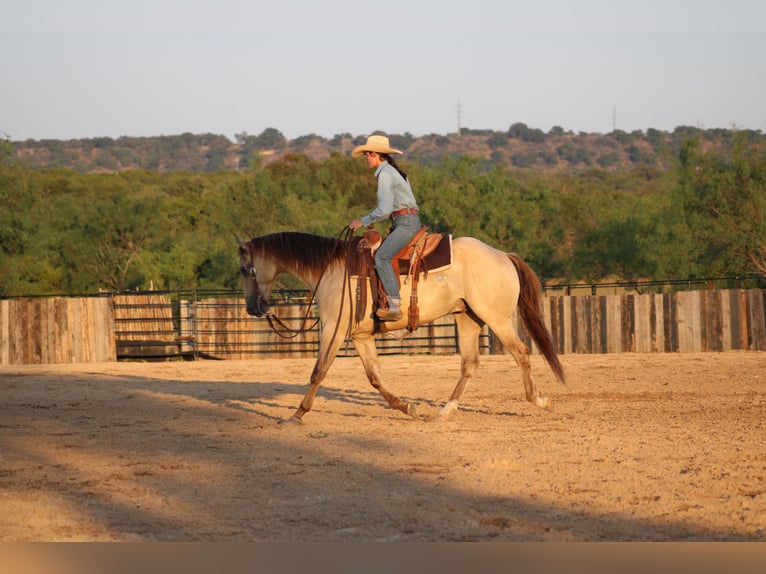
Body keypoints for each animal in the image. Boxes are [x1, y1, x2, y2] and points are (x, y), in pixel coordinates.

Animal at [237, 231, 565, 424]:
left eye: (243, 269)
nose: (253, 308)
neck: (331, 270)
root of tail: (502, 255)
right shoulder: (361, 336)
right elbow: (374, 378)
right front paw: (408, 407)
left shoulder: (333, 329)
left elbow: (319, 371)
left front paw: (297, 414)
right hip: (467, 317)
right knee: (470, 363)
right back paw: (445, 411)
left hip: (496, 319)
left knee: (522, 353)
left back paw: (540, 400)